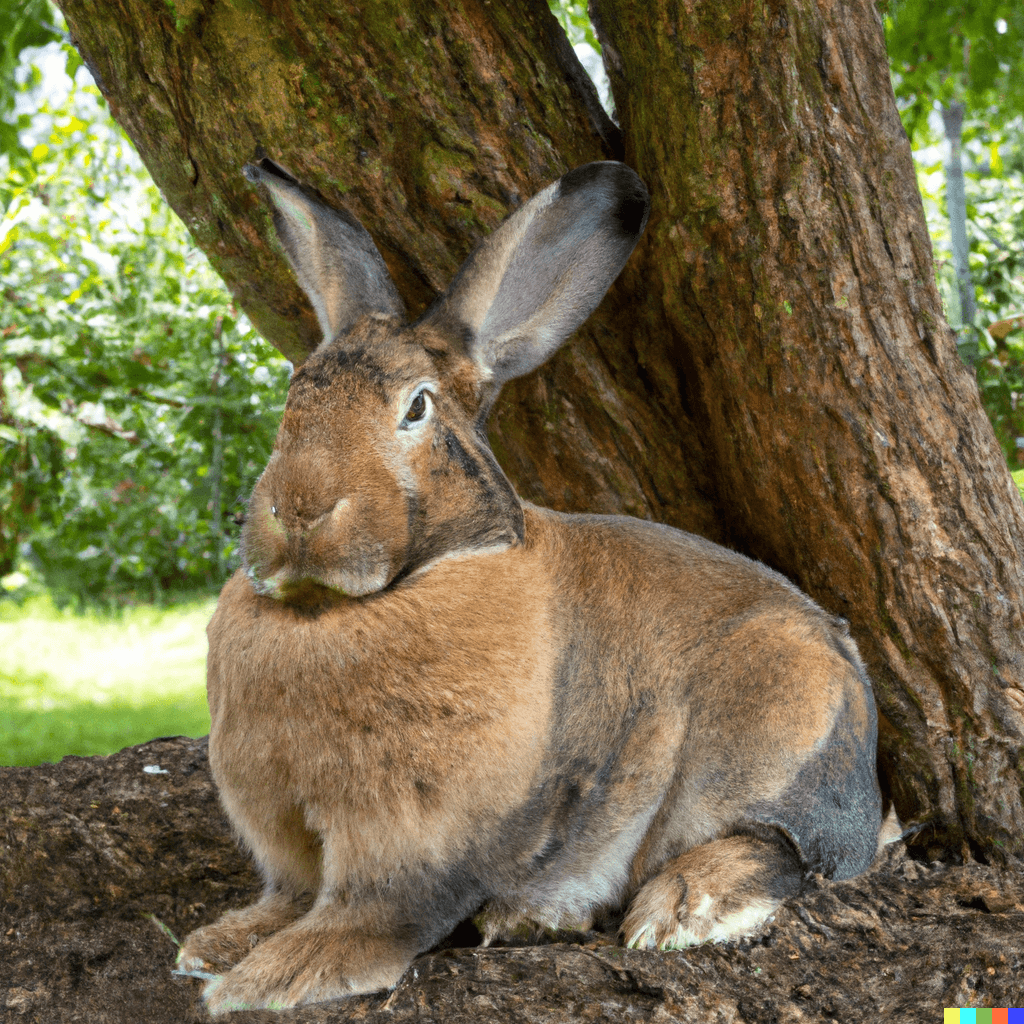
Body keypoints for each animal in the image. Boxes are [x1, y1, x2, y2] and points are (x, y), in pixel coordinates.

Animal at [174, 159, 880, 1015]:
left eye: (415, 407)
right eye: (294, 394)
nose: (299, 509)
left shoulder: (407, 846)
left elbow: (370, 917)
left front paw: (271, 980)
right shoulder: (288, 843)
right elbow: (285, 896)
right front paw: (214, 949)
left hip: (771, 734)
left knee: (785, 850)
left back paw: (673, 911)